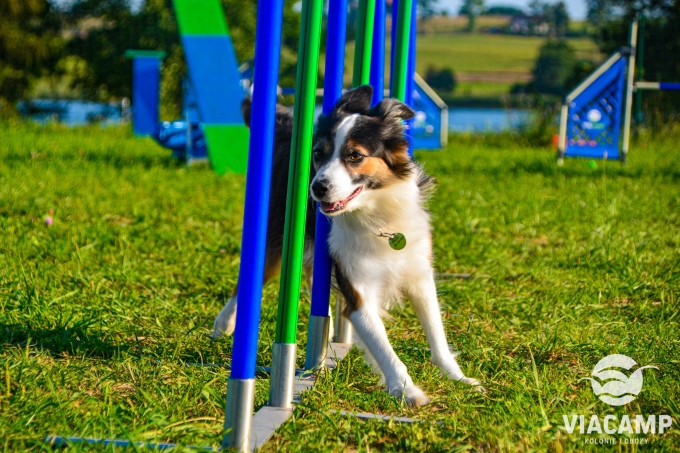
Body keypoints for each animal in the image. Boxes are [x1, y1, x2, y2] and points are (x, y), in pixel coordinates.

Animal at [214, 86, 484, 404]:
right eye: (318, 154)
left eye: (355, 155)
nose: (317, 188)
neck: (376, 216)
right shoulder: (357, 290)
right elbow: (382, 345)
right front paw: (407, 390)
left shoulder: (418, 274)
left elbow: (437, 334)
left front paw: (459, 378)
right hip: (277, 241)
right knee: (247, 284)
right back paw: (224, 324)